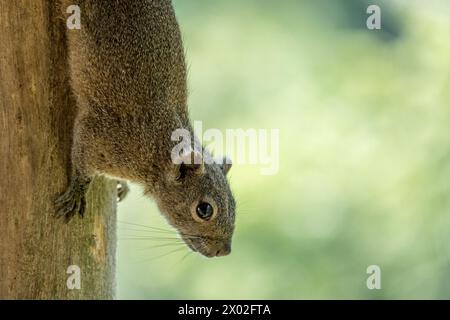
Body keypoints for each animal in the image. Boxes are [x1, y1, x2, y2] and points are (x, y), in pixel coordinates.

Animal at [56, 0, 236, 256]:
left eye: (234, 204)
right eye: (204, 209)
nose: (223, 251)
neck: (156, 157)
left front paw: (121, 186)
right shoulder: (102, 136)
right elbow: (82, 161)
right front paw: (77, 191)